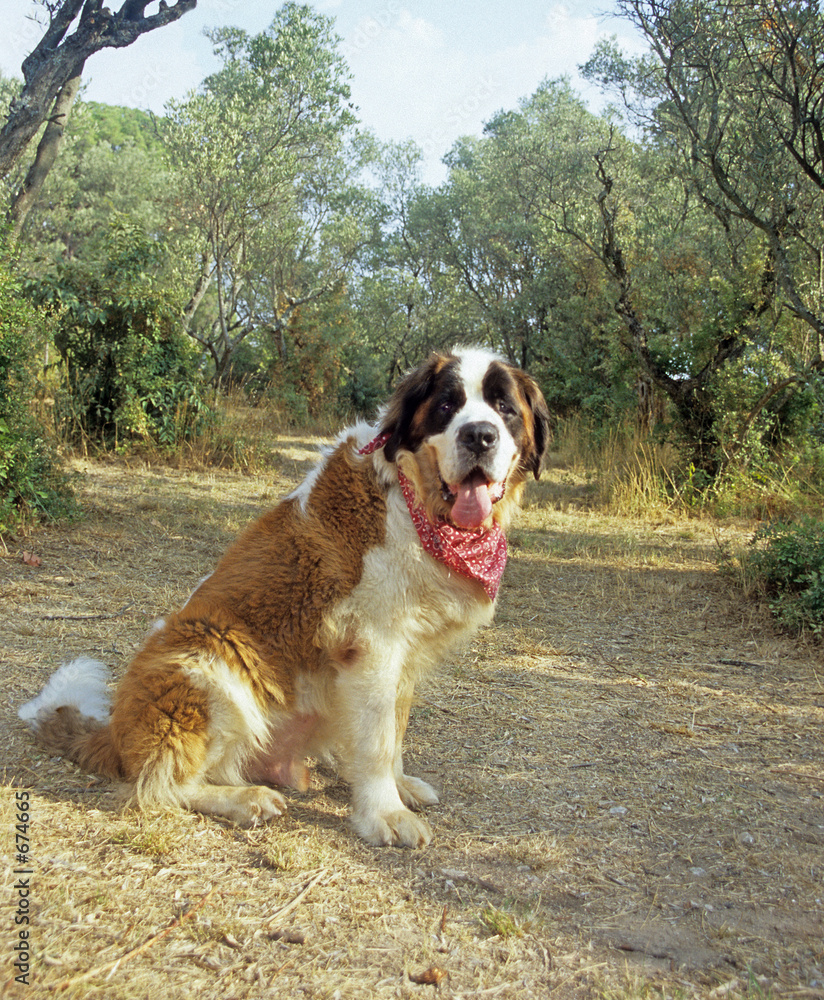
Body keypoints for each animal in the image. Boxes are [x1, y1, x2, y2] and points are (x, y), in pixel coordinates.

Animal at [19, 348, 552, 848]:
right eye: (446, 406)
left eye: (504, 408)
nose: (479, 436)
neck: (413, 497)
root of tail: (114, 734)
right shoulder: (373, 645)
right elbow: (378, 741)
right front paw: (385, 814)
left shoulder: (405, 654)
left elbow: (395, 727)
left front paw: (399, 787)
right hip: (209, 658)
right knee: (162, 785)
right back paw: (244, 800)